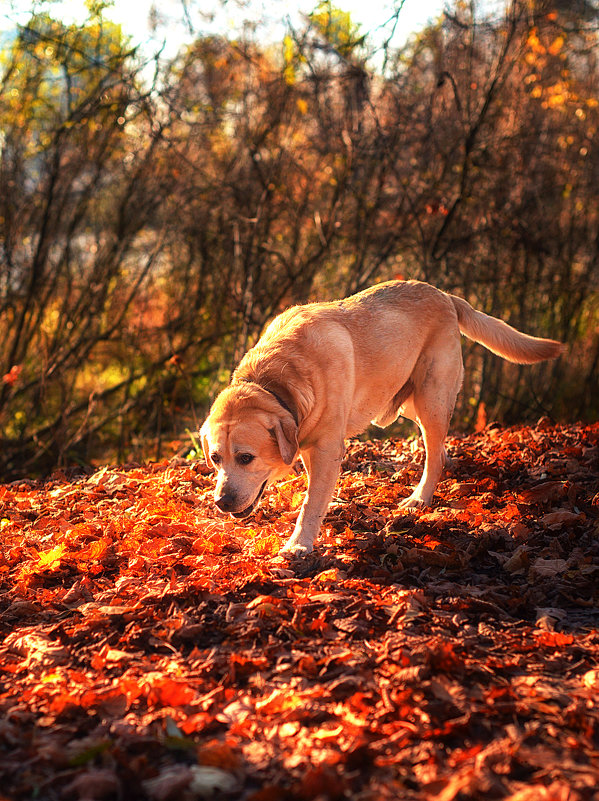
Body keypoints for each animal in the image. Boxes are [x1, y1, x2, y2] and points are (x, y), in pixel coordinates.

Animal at [200, 278, 564, 552]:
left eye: (245, 458)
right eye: (216, 459)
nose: (221, 502)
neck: (277, 381)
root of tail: (445, 295)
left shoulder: (327, 448)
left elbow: (311, 502)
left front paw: (299, 544)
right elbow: (316, 490)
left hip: (431, 397)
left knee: (433, 454)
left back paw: (420, 497)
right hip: (408, 402)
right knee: (437, 447)